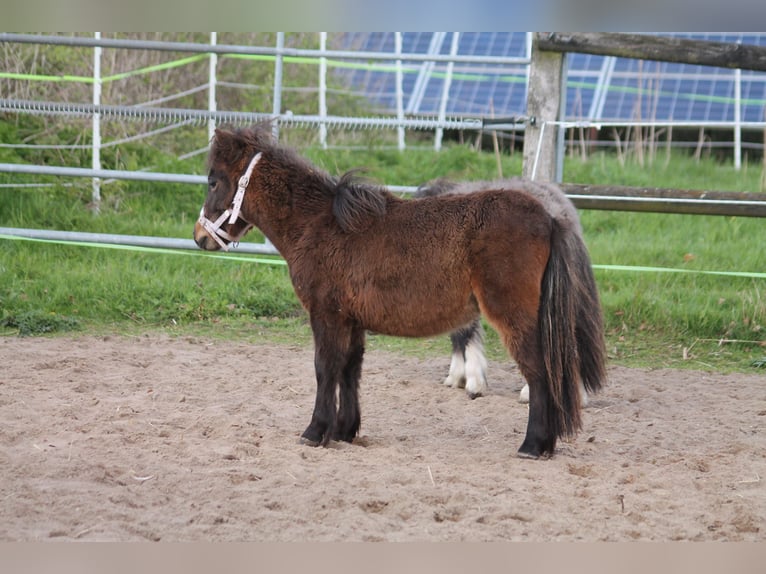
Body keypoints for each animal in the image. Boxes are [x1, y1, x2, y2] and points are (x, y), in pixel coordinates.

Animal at [195, 124, 608, 462]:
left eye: (214, 181)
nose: (199, 238)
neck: (320, 225)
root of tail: (550, 216)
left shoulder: (325, 315)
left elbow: (325, 368)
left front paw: (315, 431)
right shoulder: (351, 320)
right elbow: (350, 369)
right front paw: (345, 430)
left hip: (513, 316)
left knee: (539, 372)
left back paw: (533, 445)